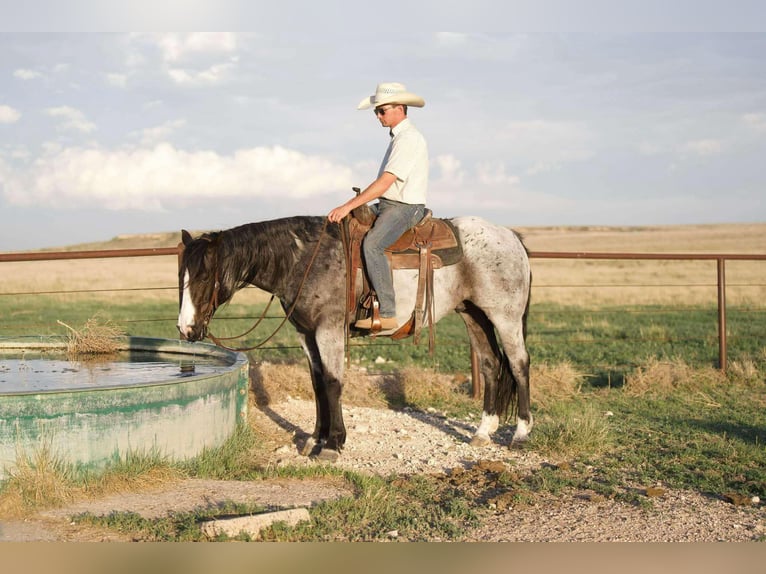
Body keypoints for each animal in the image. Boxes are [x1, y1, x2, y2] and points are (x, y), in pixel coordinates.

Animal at [177, 215, 533, 461]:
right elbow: (318, 383)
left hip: (505, 317)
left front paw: (333, 444)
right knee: (490, 364)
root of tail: (511, 237)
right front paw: (315, 438)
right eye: (181, 275)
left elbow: (333, 382)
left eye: (204, 276)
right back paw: (483, 431)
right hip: (473, 313)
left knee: (518, 364)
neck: (305, 259)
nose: (186, 329)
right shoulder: (306, 333)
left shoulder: (329, 329)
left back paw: (520, 433)